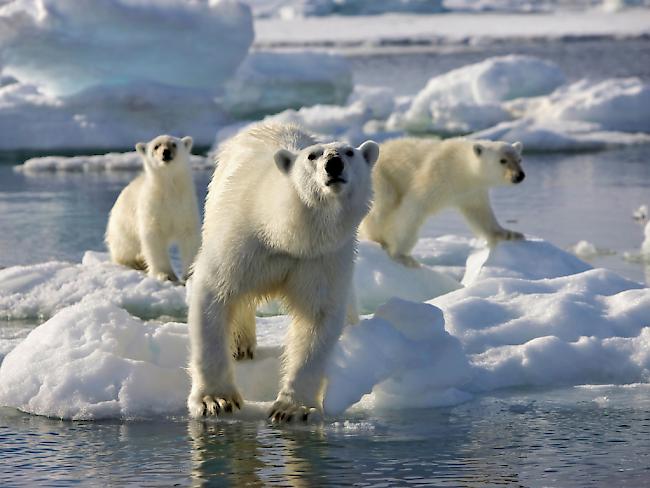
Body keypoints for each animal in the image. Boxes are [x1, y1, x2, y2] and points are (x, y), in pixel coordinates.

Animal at [186, 124, 380, 422]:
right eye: (312, 156)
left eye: (349, 152)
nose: (334, 163)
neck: (286, 235)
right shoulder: (243, 241)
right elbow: (214, 294)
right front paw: (215, 400)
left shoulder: (321, 258)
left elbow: (317, 318)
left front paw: (292, 408)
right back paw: (240, 346)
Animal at [356, 137, 524, 266]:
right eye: (503, 160)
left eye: (519, 159)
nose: (519, 175)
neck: (461, 167)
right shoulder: (436, 175)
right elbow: (412, 209)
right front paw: (401, 255)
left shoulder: (472, 192)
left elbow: (481, 214)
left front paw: (510, 234)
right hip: (381, 178)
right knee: (383, 206)